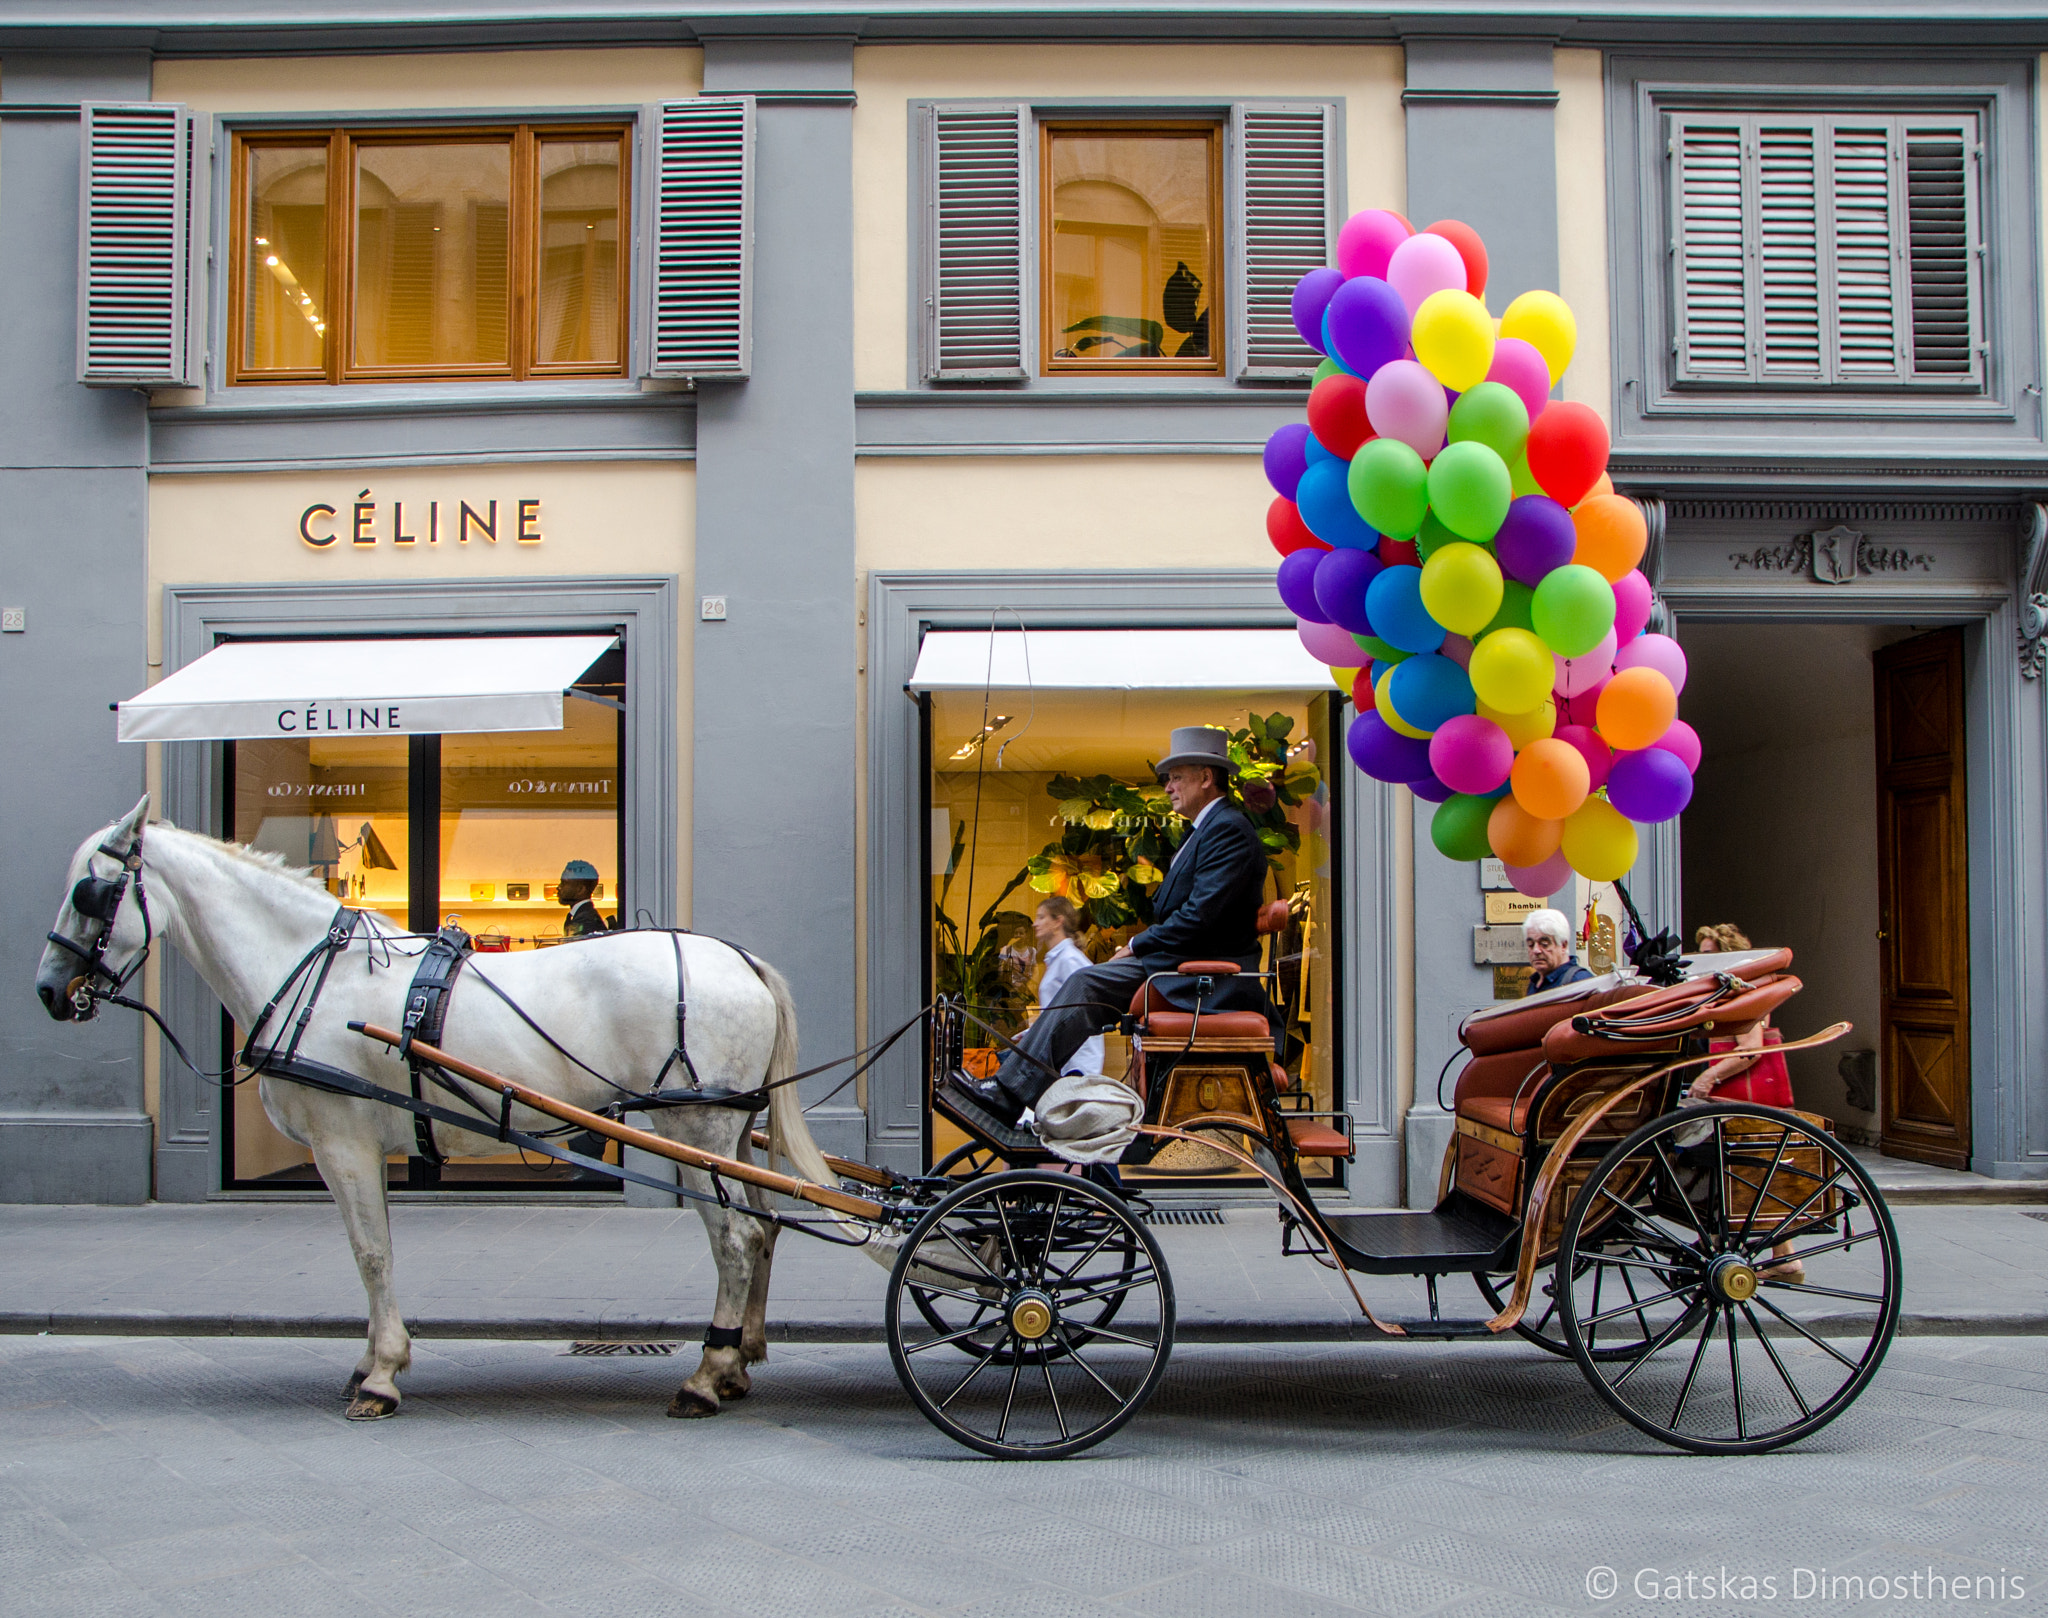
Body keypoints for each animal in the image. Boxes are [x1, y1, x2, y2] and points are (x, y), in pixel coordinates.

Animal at [34, 798, 847, 1417]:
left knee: (737, 1239)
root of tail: (738, 959)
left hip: (694, 1125)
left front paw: (382, 1375)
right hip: (730, 1130)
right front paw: (371, 1360)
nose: (48, 990)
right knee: (764, 1231)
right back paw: (735, 1363)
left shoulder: (341, 1140)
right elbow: (377, 1249)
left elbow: (370, 1252)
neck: (313, 974)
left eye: (88, 894)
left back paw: (705, 1378)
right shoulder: (361, 1145)